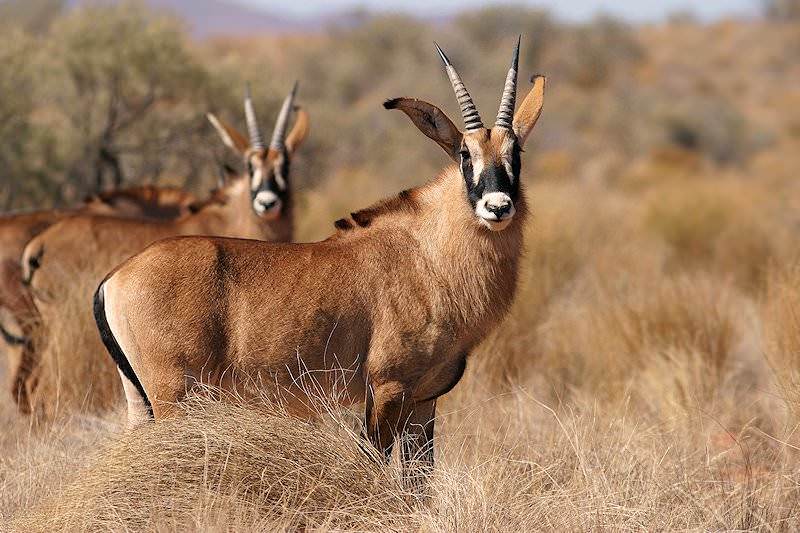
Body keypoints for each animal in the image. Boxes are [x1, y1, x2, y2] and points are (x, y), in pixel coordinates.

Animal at [95, 41, 545, 485]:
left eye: (516, 152)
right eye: (465, 154)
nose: (497, 207)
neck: (428, 253)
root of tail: (114, 279)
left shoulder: (424, 400)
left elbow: (420, 485)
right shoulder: (386, 389)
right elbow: (375, 470)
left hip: (142, 401)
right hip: (174, 394)